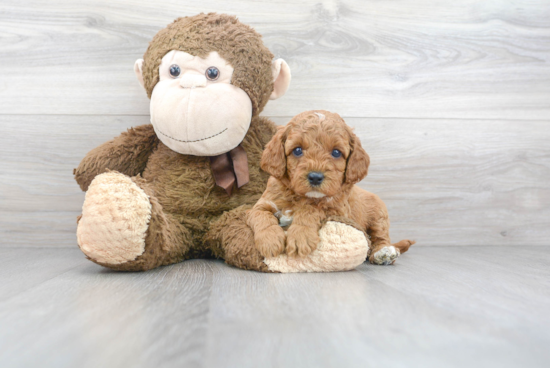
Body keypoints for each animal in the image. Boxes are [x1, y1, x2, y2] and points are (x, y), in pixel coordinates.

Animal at [248, 110, 416, 266]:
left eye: (336, 152)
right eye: (297, 150)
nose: (315, 177)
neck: (302, 196)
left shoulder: (337, 211)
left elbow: (312, 209)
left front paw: (300, 236)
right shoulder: (261, 204)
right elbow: (261, 215)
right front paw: (270, 240)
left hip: (379, 214)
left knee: (380, 237)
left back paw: (383, 252)